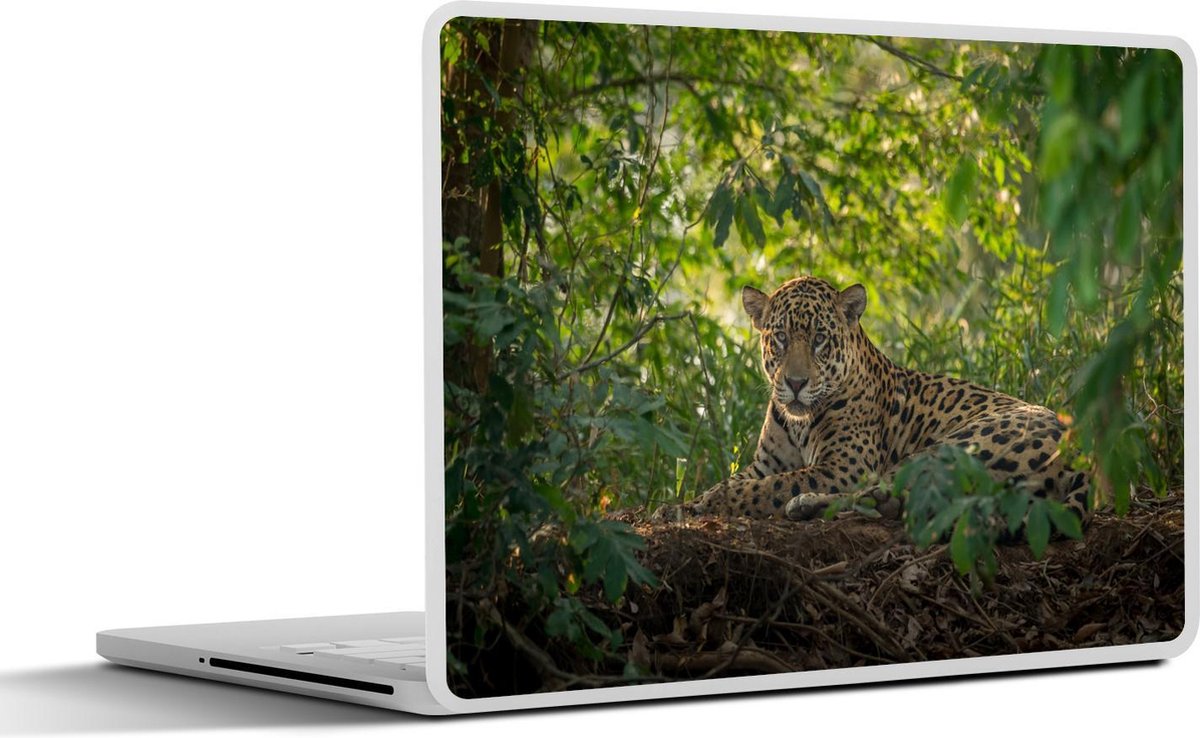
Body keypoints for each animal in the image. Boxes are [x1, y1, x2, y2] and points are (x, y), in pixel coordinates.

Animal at [666, 275, 1090, 525]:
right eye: (781, 337)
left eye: (820, 338)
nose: (796, 382)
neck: (799, 422)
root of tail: (1078, 455)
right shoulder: (764, 464)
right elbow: (743, 480)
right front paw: (682, 504)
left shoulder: (843, 467)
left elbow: (767, 488)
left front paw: (708, 502)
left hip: (948, 448)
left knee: (887, 495)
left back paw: (804, 504)